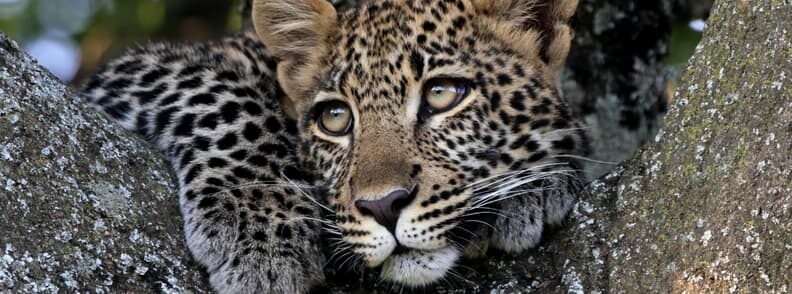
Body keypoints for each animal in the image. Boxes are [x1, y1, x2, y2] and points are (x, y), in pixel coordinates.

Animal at [80, 0, 588, 290]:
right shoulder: (137, 71)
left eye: (443, 94)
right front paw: (262, 233)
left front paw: (535, 184)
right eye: (336, 119)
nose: (384, 206)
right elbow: (221, 97)